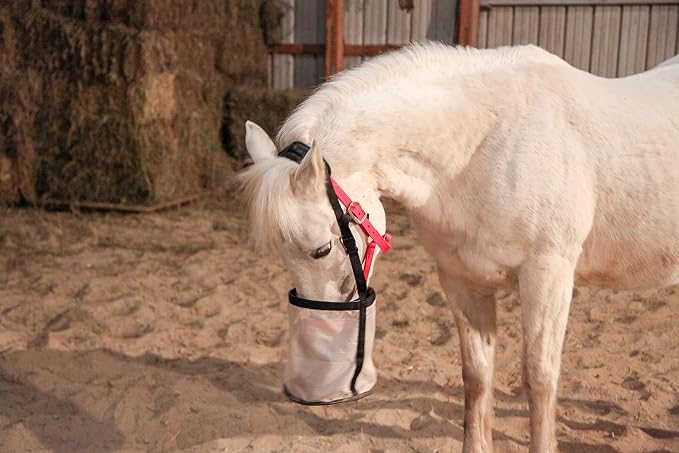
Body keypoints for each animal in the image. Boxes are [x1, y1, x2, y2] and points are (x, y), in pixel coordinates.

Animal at [238, 42, 679, 453]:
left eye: (322, 250)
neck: (481, 147)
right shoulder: (462, 280)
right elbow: (477, 377)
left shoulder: (548, 275)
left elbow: (539, 378)